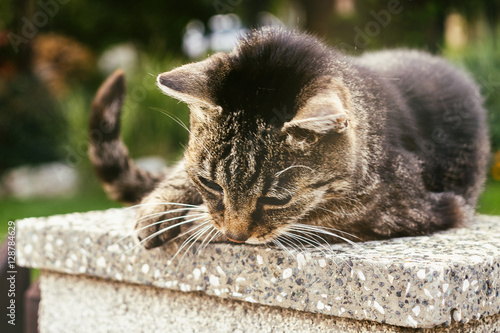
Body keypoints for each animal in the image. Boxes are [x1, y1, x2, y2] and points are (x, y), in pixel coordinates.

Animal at [89, 27, 488, 249]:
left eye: (276, 199)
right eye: (210, 184)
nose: (235, 236)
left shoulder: (409, 208)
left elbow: (320, 218)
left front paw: (196, 223)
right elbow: (178, 171)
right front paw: (160, 208)